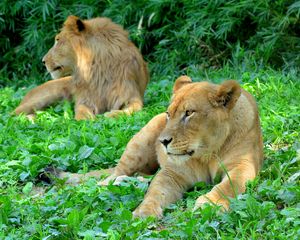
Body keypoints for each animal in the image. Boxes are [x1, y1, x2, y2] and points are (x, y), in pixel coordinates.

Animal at [15, 15, 149, 119]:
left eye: (58, 40)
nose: (43, 61)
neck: (98, 68)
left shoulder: (131, 95)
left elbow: (134, 108)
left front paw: (112, 114)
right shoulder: (85, 98)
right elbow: (80, 110)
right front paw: (86, 119)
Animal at [41, 76, 262, 218]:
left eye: (189, 113)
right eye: (169, 114)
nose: (162, 142)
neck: (206, 153)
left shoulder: (243, 165)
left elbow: (228, 186)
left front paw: (209, 204)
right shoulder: (172, 172)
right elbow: (156, 192)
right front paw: (143, 212)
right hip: (140, 141)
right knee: (110, 176)